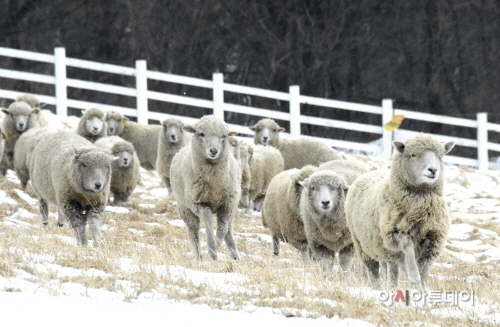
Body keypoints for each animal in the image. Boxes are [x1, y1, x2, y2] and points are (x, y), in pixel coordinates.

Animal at [170, 115, 242, 262]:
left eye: (224, 136)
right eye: (201, 134)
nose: (214, 151)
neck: (215, 185)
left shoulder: (227, 205)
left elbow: (222, 229)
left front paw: (216, 250)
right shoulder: (200, 203)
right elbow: (208, 222)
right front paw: (212, 251)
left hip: (232, 208)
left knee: (229, 230)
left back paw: (236, 257)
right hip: (185, 208)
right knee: (193, 232)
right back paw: (199, 258)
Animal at [344, 135, 458, 288]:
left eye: (440, 156)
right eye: (413, 155)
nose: (433, 170)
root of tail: (370, 172)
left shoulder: (434, 237)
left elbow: (424, 267)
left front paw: (422, 287)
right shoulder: (394, 234)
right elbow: (408, 249)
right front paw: (413, 275)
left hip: (385, 251)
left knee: (391, 270)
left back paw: (392, 288)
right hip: (362, 244)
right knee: (373, 271)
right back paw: (377, 288)